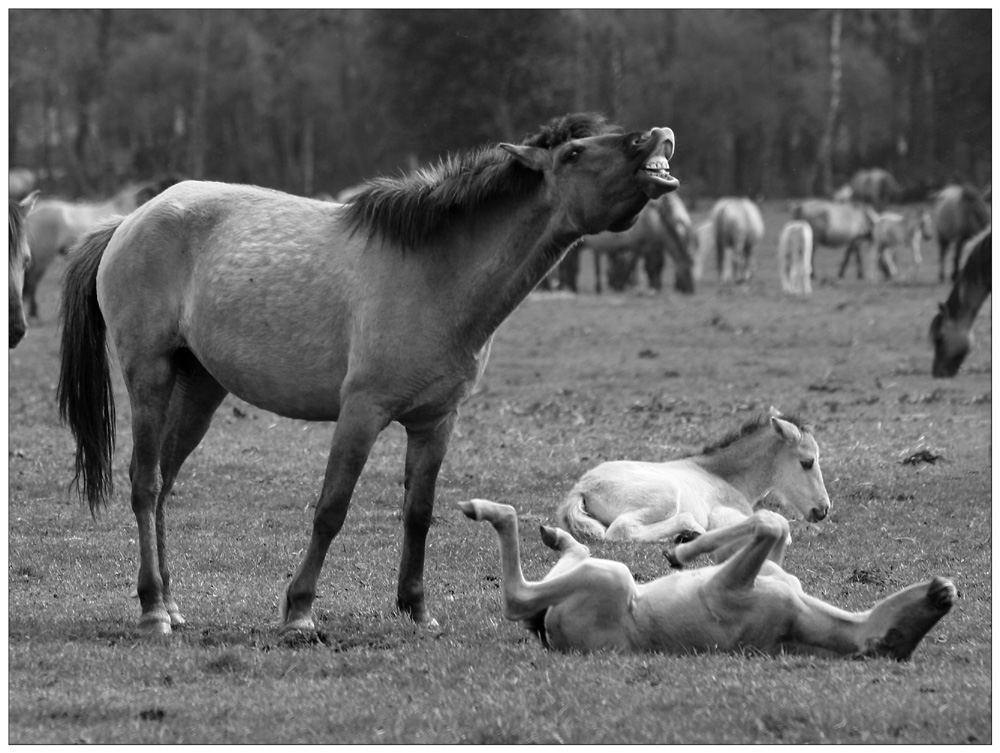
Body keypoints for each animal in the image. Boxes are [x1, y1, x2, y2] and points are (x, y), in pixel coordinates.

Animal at [56, 113, 680, 640]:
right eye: (574, 152)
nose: (657, 136)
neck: (438, 275)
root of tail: (128, 221)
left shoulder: (435, 422)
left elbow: (419, 514)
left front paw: (416, 610)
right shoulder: (361, 411)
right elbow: (332, 508)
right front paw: (299, 612)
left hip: (200, 390)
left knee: (164, 485)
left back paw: (172, 603)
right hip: (150, 376)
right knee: (145, 483)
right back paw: (153, 610)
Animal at [460, 502, 952, 660]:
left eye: (897, 638)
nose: (944, 592)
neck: (798, 621)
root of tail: (549, 633)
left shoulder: (725, 589)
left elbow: (769, 522)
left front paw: (679, 550)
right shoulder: (766, 571)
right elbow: (774, 524)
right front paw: (681, 549)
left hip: (610, 579)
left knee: (518, 599)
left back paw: (487, 510)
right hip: (592, 577)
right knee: (572, 556)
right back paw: (555, 534)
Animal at [556, 412, 828, 564]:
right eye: (807, 462)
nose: (823, 509)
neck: (720, 475)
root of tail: (580, 489)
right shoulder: (725, 514)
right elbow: (779, 526)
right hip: (666, 497)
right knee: (621, 530)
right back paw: (691, 532)